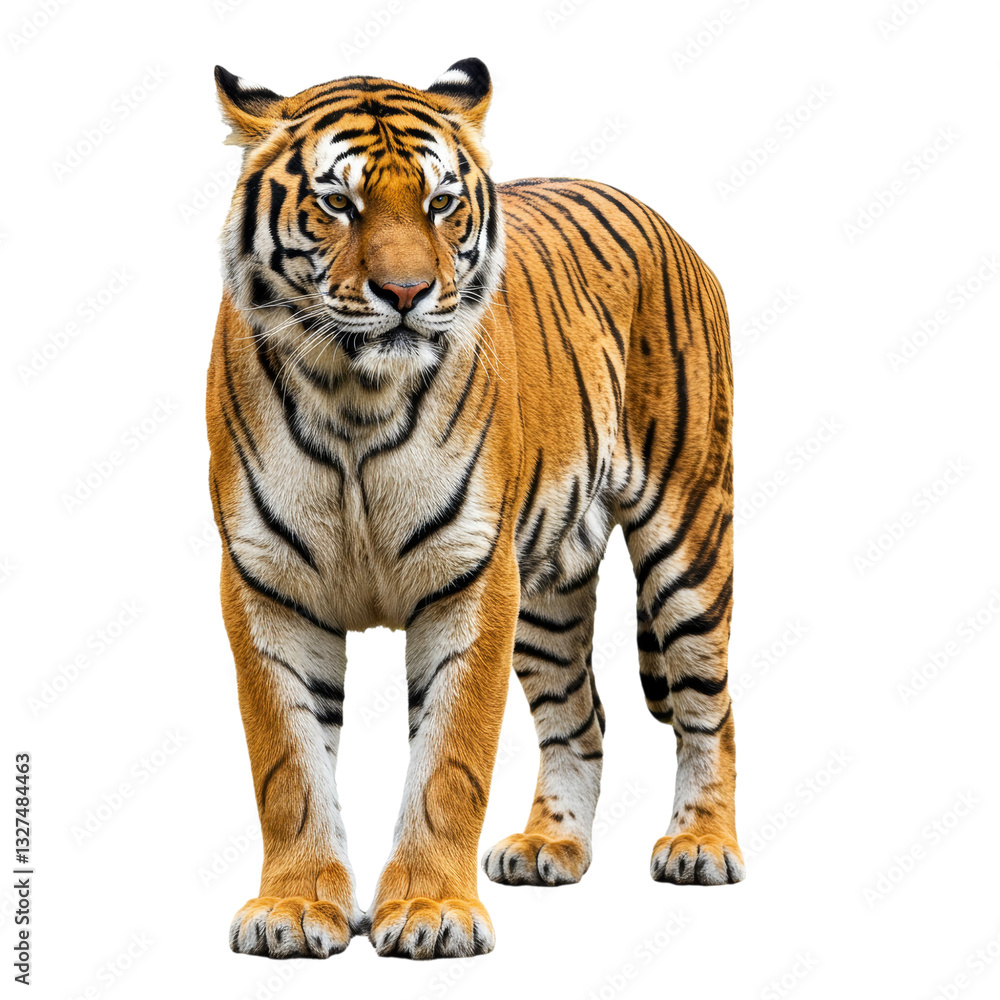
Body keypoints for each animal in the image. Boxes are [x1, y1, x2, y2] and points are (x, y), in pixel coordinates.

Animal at [207, 57, 743, 962]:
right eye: (339, 202)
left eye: (440, 203)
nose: (406, 291)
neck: (353, 396)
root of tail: (660, 220)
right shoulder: (267, 584)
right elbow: (288, 765)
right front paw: (296, 907)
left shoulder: (470, 578)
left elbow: (448, 763)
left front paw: (430, 912)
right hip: (549, 588)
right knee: (582, 716)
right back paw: (550, 846)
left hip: (690, 533)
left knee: (711, 705)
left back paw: (701, 844)